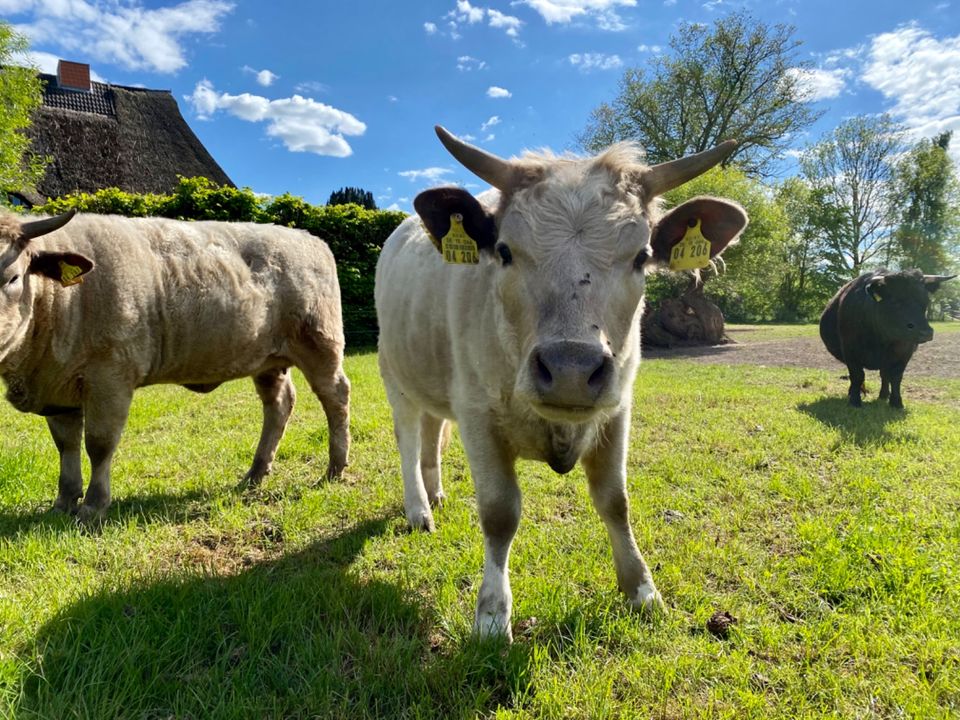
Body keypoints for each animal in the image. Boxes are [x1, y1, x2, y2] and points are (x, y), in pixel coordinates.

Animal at [0, 211, 348, 520]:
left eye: (13, 277)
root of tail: (307, 237)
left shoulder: (110, 377)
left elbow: (99, 443)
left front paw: (93, 507)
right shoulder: (56, 385)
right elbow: (66, 445)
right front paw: (64, 502)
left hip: (320, 344)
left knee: (336, 397)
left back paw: (335, 469)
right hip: (267, 361)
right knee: (279, 404)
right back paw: (255, 473)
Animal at [376, 126, 752, 640]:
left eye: (642, 257)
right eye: (505, 252)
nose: (571, 370)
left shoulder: (618, 410)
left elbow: (615, 501)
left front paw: (642, 590)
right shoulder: (477, 414)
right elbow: (499, 513)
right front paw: (492, 615)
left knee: (433, 432)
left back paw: (435, 493)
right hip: (396, 377)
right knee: (410, 440)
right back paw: (419, 509)